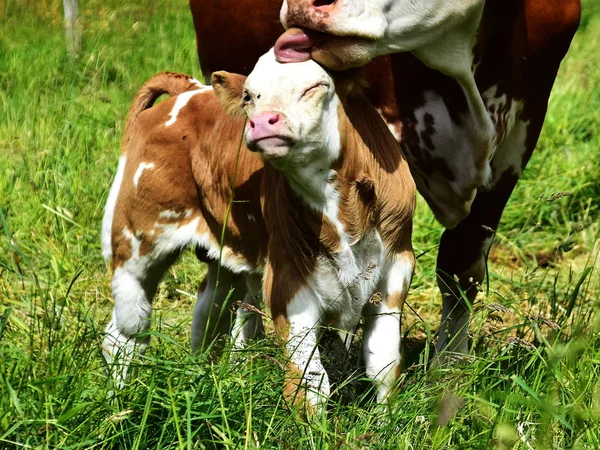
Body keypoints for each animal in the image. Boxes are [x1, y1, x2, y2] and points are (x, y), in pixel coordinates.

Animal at [101, 51, 414, 406]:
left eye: (315, 86)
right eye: (250, 96)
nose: (262, 122)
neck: (343, 213)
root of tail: (191, 90)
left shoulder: (396, 265)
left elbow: (383, 364)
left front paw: (384, 417)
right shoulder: (286, 280)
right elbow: (310, 381)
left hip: (226, 253)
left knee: (209, 317)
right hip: (135, 245)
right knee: (125, 334)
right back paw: (116, 406)